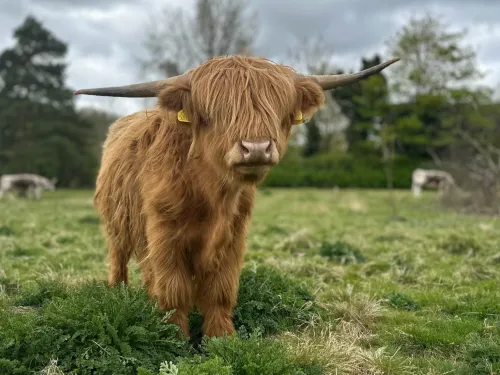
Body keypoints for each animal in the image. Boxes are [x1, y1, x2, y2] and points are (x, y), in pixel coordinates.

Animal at [74, 54, 400, 340]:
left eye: (275, 109)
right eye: (213, 113)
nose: (256, 148)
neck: (213, 196)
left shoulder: (234, 235)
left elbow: (221, 289)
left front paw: (221, 338)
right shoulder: (164, 234)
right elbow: (173, 288)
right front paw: (174, 336)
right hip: (117, 224)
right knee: (118, 258)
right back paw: (118, 293)